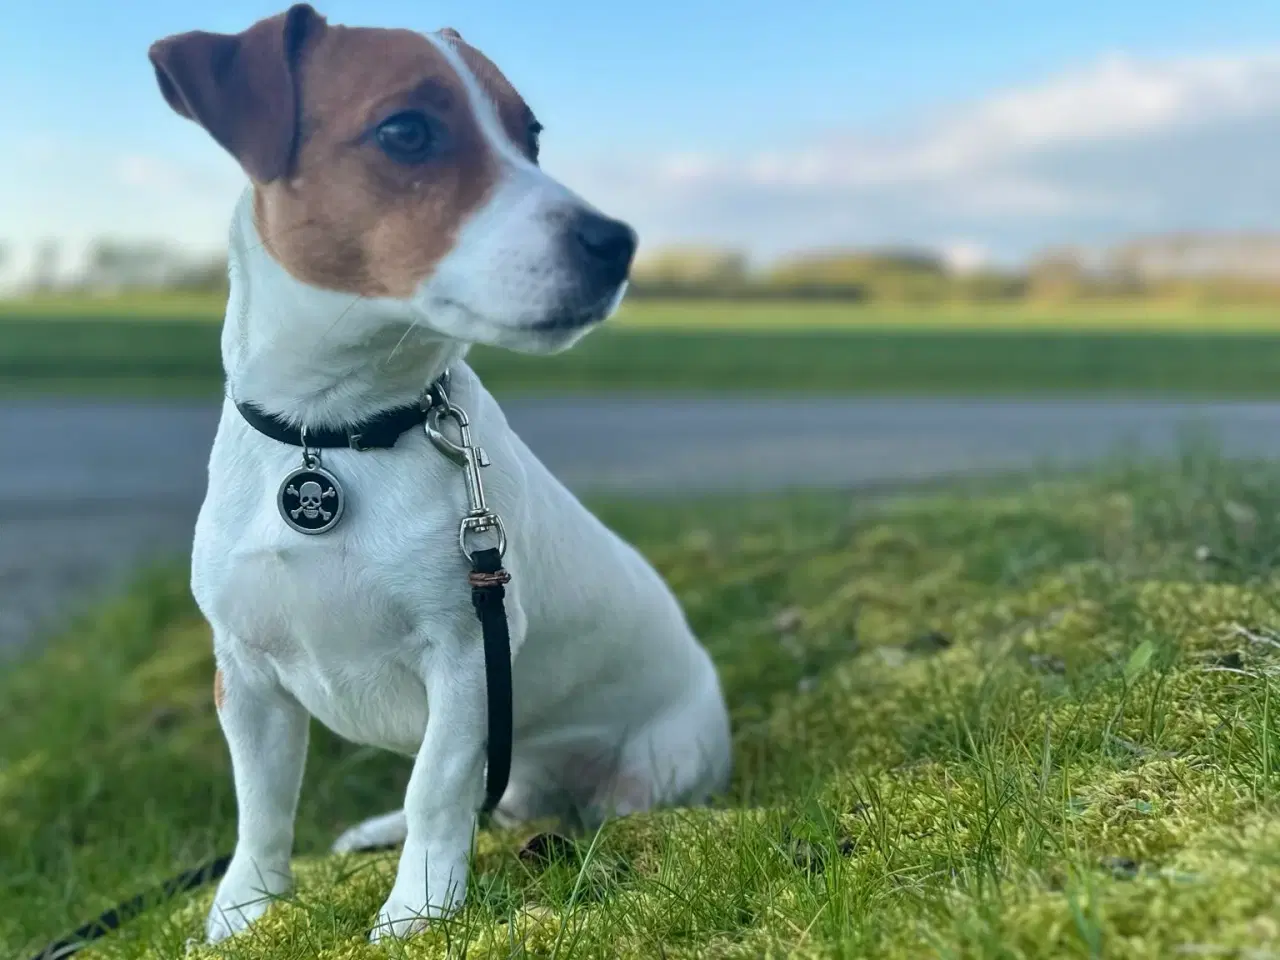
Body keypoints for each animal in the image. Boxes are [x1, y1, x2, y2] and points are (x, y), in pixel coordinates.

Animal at [147, 1, 732, 947]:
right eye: (407, 131)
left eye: (530, 137)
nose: (618, 244)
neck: (336, 435)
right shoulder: (248, 676)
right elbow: (262, 809)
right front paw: (244, 909)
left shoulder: (465, 657)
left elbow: (437, 786)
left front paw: (416, 912)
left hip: (650, 771)